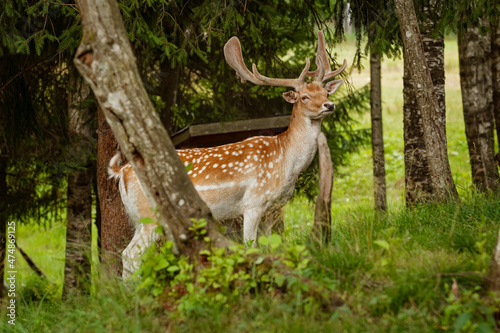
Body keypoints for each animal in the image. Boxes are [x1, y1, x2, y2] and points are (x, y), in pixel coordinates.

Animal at [107, 30, 346, 278]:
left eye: (325, 92)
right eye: (304, 96)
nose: (329, 105)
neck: (286, 162)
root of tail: (121, 172)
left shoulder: (272, 209)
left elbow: (268, 247)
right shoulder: (252, 203)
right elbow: (250, 246)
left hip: (139, 218)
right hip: (151, 216)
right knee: (130, 254)